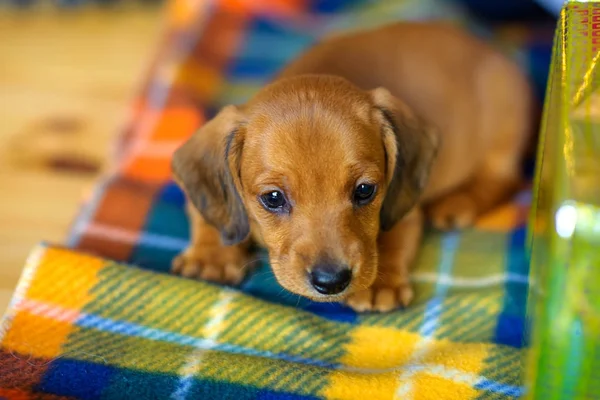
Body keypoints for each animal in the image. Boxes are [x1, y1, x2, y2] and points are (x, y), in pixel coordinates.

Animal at [171, 21, 532, 312]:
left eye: (365, 190)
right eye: (272, 198)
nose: (331, 282)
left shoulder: (404, 207)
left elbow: (394, 237)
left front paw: (379, 283)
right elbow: (206, 215)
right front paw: (211, 256)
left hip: (505, 125)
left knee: (504, 179)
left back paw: (458, 202)